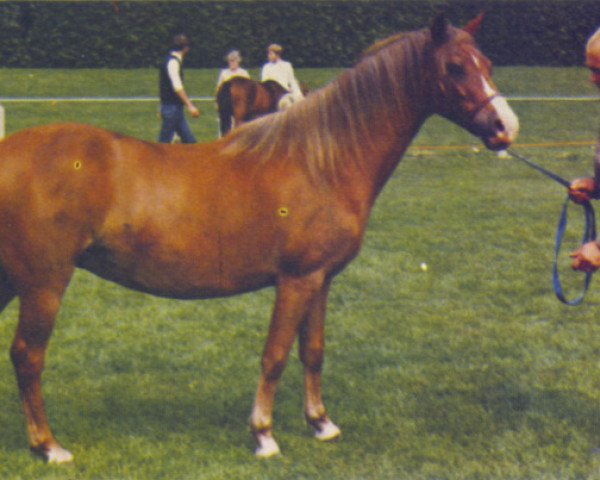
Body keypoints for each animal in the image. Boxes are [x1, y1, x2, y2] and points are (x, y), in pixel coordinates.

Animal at [0, 15, 516, 464]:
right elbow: (275, 356)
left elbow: (313, 352)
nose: (505, 128)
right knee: (28, 356)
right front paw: (264, 435)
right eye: (454, 67)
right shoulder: (295, 280)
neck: (321, 160)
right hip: (44, 283)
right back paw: (49, 447)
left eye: (487, 64)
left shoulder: (320, 280)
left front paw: (321, 424)